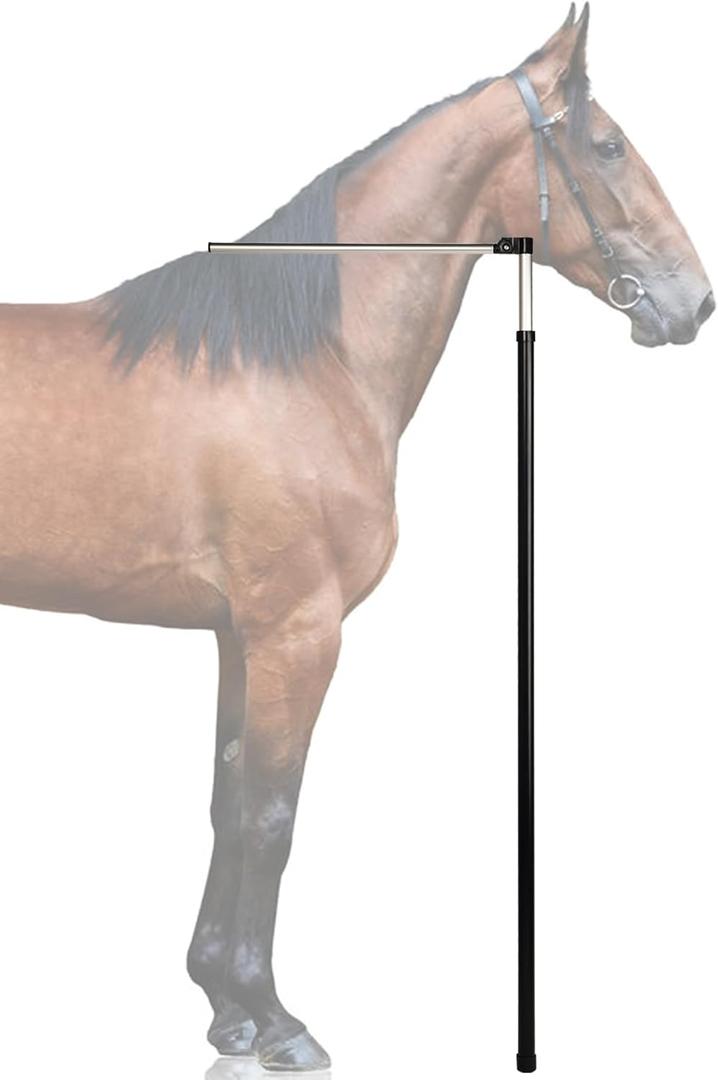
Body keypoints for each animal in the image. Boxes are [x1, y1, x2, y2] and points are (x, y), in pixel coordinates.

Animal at [0, 3, 712, 1071]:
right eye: (607, 146)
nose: (695, 301)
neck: (305, 362)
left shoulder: (240, 636)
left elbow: (227, 799)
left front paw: (223, 1005)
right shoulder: (300, 631)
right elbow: (271, 816)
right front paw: (276, 1018)